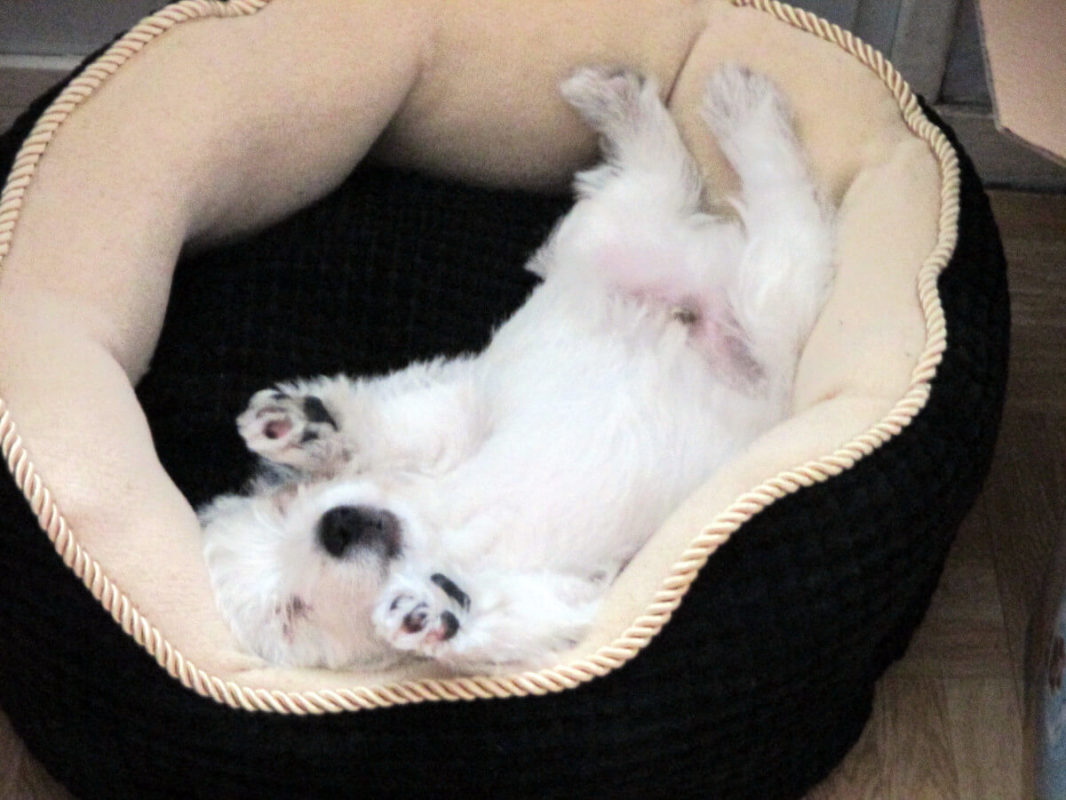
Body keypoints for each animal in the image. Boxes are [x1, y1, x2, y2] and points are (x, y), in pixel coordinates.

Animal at [198, 64, 831, 678]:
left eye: (289, 502)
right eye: (289, 615)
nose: (339, 526)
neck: (442, 519)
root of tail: (706, 308)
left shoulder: (455, 414)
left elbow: (403, 427)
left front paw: (309, 425)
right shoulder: (567, 596)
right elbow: (514, 616)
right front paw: (440, 607)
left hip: (613, 244)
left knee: (718, 186)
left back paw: (680, 103)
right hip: (731, 281)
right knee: (766, 213)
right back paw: (704, 106)